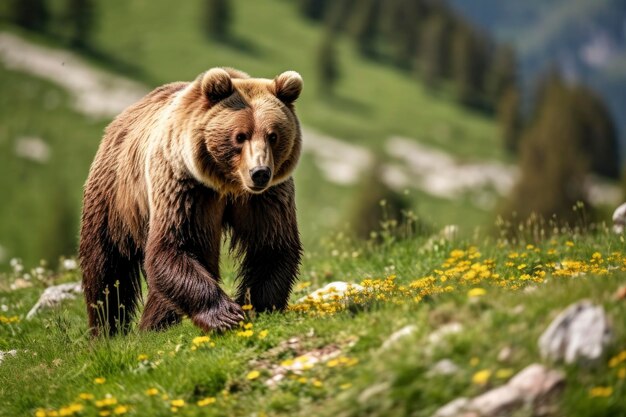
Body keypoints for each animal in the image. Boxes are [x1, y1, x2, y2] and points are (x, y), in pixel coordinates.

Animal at [78, 67, 302, 334]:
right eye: (240, 136)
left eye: (273, 136)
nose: (259, 172)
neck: (228, 183)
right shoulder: (186, 186)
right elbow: (177, 245)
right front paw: (225, 315)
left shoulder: (266, 198)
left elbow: (271, 246)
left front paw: (256, 306)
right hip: (115, 196)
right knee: (105, 264)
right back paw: (107, 329)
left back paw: (154, 324)